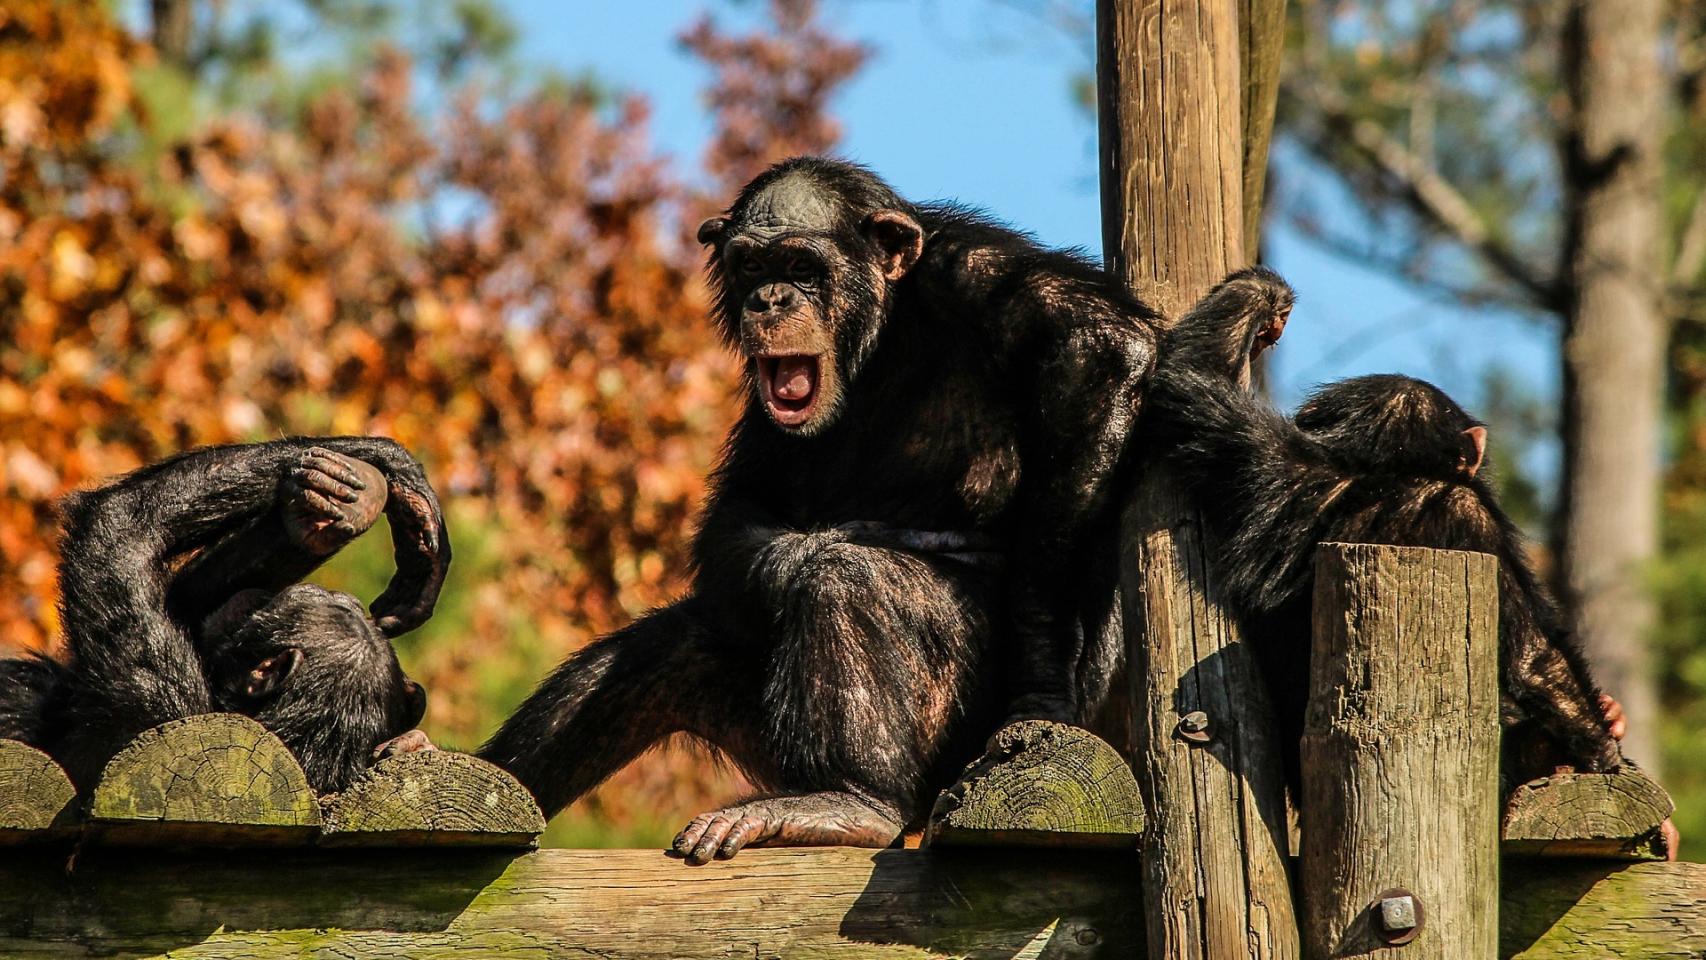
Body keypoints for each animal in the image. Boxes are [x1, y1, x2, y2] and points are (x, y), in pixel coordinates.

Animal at [0, 439, 450, 791]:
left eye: (286, 603)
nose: (258, 599)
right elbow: (185, 598)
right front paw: (378, 489)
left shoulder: (150, 694)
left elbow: (123, 528)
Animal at [467, 157, 1160, 862]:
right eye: (750, 265)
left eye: (802, 265)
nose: (771, 300)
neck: (882, 332)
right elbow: (741, 510)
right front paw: (796, 549)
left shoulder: (977, 273)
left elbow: (1100, 348)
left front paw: (1041, 684)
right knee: (666, 649)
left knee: (848, 582)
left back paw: (852, 802)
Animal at [1139, 269, 1617, 787]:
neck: (1383, 472)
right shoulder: (1470, 514)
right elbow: (1535, 658)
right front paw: (1604, 748)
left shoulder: (1263, 459)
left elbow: (1190, 379)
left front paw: (1263, 298)